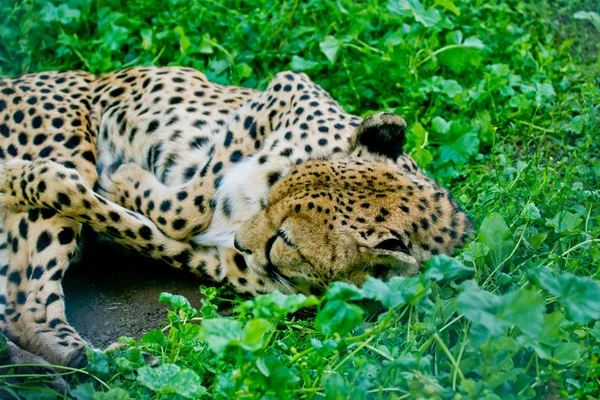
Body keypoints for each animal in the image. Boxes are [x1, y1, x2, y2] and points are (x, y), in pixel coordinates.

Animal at [0, 67, 472, 370]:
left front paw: (109, 180)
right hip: (68, 137)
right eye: (276, 196)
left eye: (285, 241)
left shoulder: (209, 260)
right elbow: (197, 196)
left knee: (21, 308)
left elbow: (157, 222)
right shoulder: (287, 86)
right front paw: (115, 177)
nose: (244, 242)